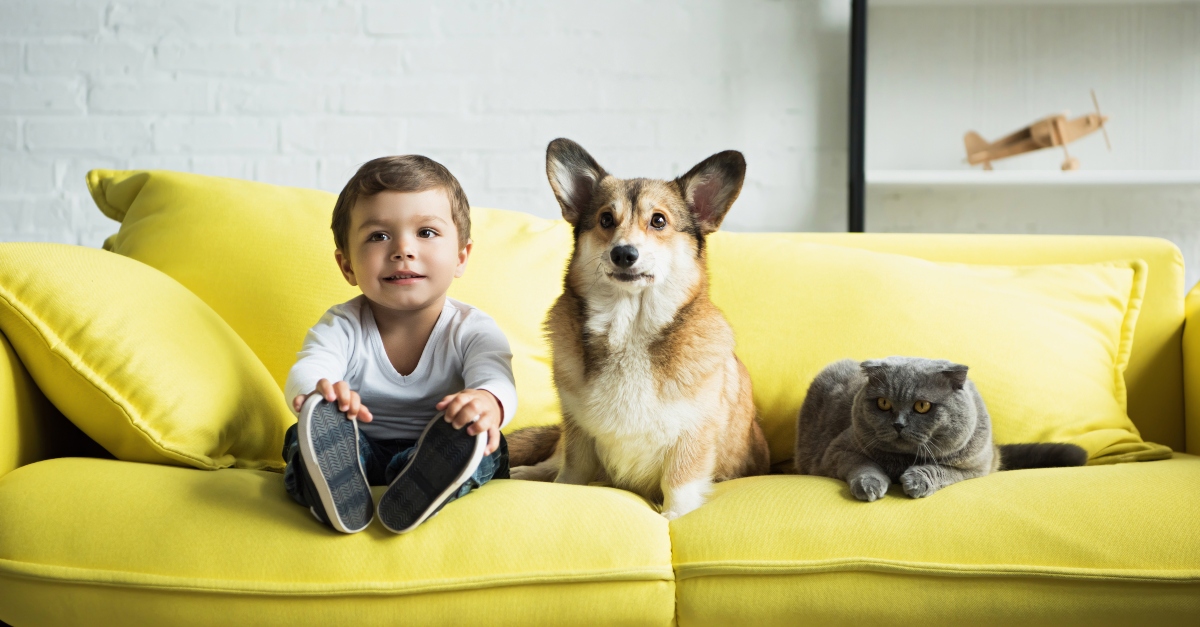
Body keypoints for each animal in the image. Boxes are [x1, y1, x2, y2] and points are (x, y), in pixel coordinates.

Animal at [506, 136, 768, 516]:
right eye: (605, 219)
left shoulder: (692, 436)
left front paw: (674, 517)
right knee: (550, 462)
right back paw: (519, 472)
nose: (624, 254)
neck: (629, 328)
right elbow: (570, 475)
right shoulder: (578, 434)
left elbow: (678, 484)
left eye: (658, 221)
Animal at [796, 355, 1089, 497]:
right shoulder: (837, 451)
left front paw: (916, 481)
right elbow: (864, 465)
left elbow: (940, 469)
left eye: (922, 406)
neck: (902, 461)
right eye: (883, 403)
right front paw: (870, 486)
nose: (898, 424)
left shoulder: (974, 466)